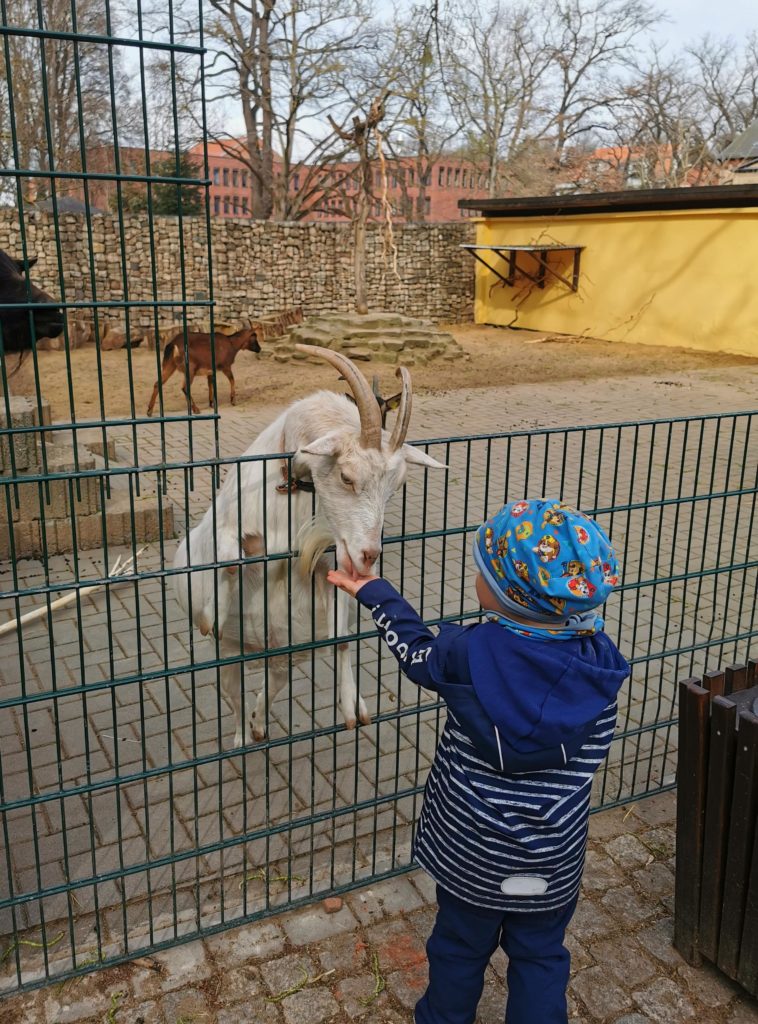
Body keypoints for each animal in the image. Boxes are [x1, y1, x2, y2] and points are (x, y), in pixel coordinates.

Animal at [173, 344, 444, 745]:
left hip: (287, 658)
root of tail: (260, 648)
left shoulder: (327, 563)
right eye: (346, 477)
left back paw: (258, 724)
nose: (368, 556)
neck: (287, 486)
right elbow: (229, 559)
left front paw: (353, 706)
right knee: (233, 696)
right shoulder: (225, 528)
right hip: (230, 658)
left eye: (397, 486)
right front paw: (211, 615)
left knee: (268, 688)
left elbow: (342, 637)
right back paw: (241, 737)